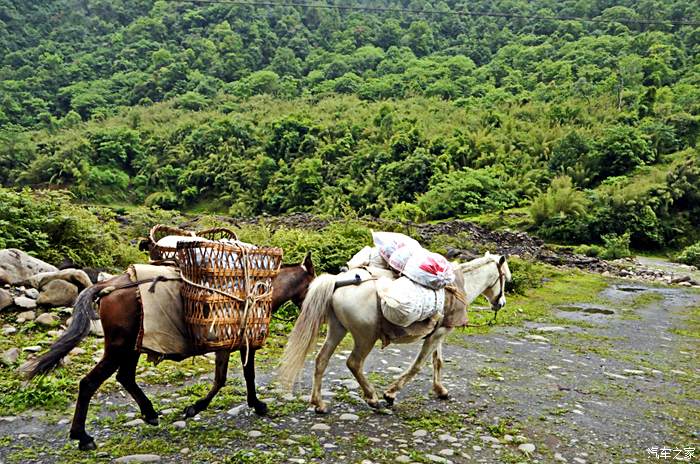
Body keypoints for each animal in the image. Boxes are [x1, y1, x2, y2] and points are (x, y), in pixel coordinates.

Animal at [276, 252, 512, 412]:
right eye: (504, 278)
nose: (501, 303)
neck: (457, 287)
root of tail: (336, 282)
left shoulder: (439, 332)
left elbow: (437, 361)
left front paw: (440, 390)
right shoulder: (437, 334)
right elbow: (418, 365)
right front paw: (390, 394)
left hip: (337, 329)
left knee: (321, 360)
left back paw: (319, 403)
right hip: (365, 337)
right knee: (354, 363)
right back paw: (372, 398)